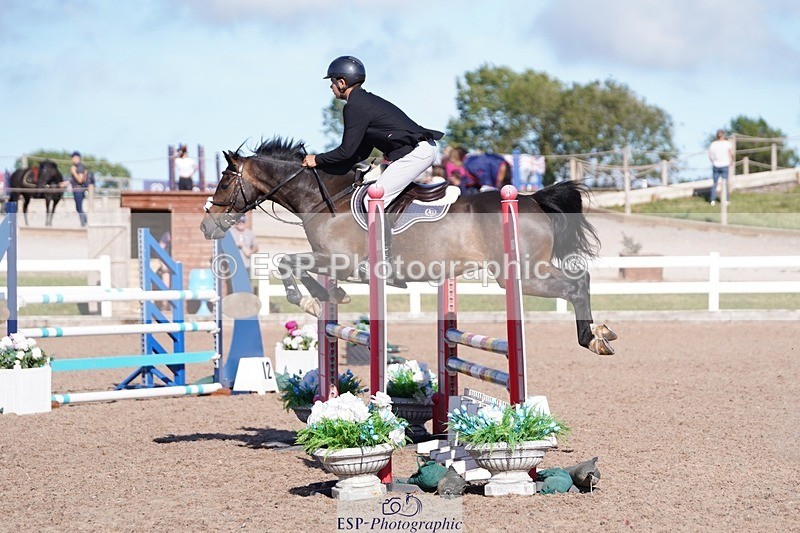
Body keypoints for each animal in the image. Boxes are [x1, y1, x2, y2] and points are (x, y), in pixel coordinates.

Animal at [200, 138, 617, 356]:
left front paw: (312, 300)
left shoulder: (342, 261)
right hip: (532, 270)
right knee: (583, 279)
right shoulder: (331, 261)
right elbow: (296, 266)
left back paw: (592, 339)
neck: (323, 198)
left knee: (575, 286)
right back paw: (602, 333)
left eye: (224, 182)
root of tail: (532, 198)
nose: (206, 225)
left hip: (522, 275)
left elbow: (286, 263)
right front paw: (328, 296)